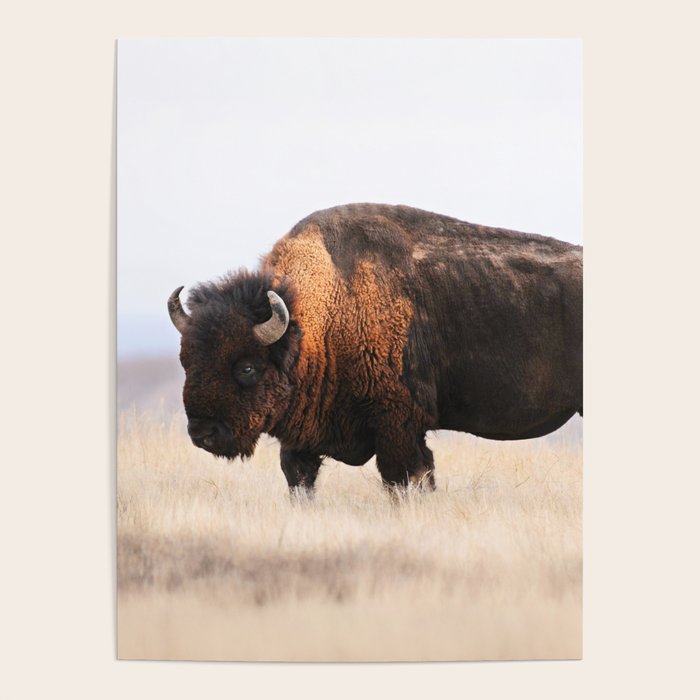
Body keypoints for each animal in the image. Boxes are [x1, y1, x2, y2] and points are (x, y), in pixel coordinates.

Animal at [168, 204, 582, 493]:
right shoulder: (301, 438)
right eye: (186, 361)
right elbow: (299, 479)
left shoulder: (398, 425)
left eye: (247, 367)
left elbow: (405, 478)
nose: (202, 433)